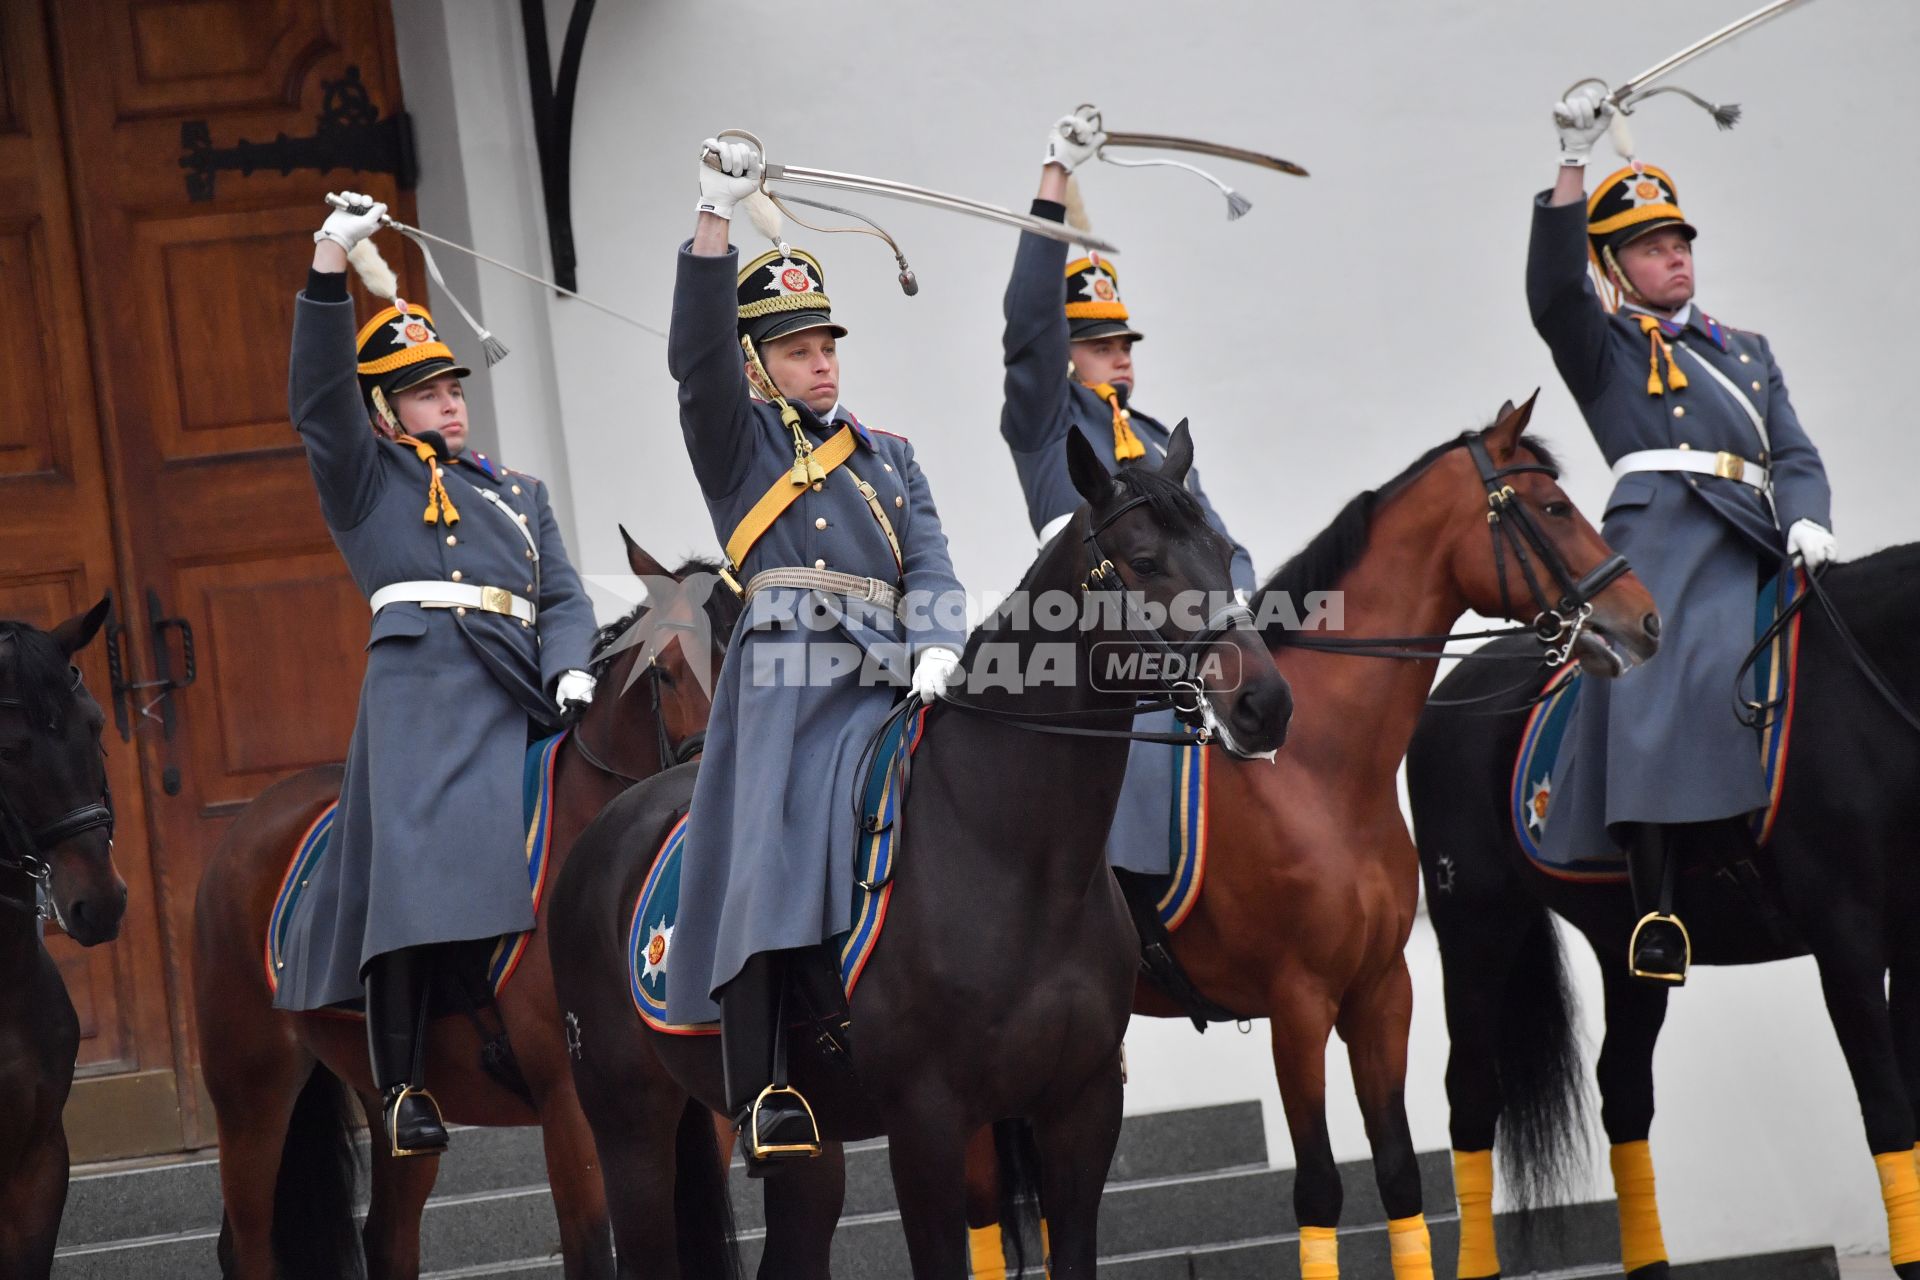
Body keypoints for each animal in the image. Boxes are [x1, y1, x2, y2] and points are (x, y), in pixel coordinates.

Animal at [189, 537, 741, 1280]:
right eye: (666, 672)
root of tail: (252, 822)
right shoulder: (572, 1109)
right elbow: (592, 1250)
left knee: (387, 1237)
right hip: (251, 1089)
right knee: (247, 1244)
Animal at [556, 426, 1297, 1274]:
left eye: (1223, 550)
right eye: (1143, 561)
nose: (1266, 704)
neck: (1018, 857)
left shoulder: (1082, 1111)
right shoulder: (928, 1125)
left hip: (807, 1156)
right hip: (629, 1130)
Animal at [967, 395, 1658, 1274]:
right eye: (1553, 507)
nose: (1643, 620)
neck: (1320, 774)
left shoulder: (1382, 992)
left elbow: (1398, 1176)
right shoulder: (1297, 1005)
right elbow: (1321, 1189)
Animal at [1405, 545, 1920, 1280]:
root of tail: (1455, 689)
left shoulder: (1911, 941)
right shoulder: (1845, 939)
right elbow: (1888, 1109)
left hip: (1622, 942)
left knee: (1623, 1089)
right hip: (1476, 924)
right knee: (1473, 1096)